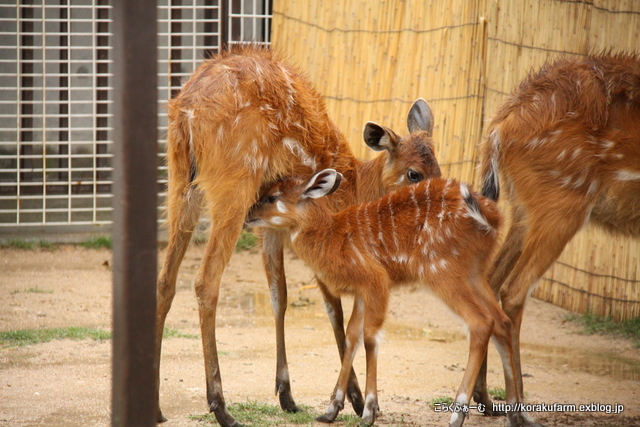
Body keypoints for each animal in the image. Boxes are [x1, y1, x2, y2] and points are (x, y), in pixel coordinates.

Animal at [156, 45, 444, 426]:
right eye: (414, 173)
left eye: (439, 166)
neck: (354, 189)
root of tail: (186, 113)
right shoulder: (322, 234)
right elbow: (334, 310)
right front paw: (352, 400)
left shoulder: (274, 224)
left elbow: (280, 294)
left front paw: (288, 394)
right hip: (233, 186)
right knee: (205, 281)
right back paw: (221, 406)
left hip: (179, 184)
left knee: (166, 280)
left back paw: (156, 406)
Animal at [248, 171, 536, 427]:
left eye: (272, 197)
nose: (249, 216)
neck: (332, 237)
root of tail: (492, 217)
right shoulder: (362, 293)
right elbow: (351, 337)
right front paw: (330, 411)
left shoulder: (376, 281)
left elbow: (370, 337)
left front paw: (368, 412)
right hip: (474, 272)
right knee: (502, 321)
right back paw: (514, 415)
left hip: (442, 272)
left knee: (481, 323)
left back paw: (457, 415)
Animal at [476, 51, 640, 422]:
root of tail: (500, 126)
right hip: (564, 206)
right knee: (514, 290)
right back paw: (519, 412)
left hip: (524, 210)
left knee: (490, 282)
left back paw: (485, 399)